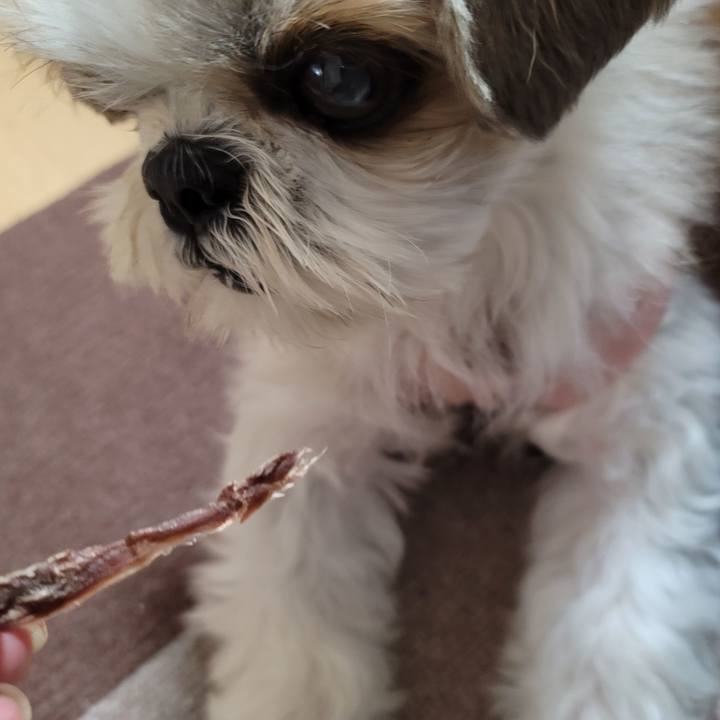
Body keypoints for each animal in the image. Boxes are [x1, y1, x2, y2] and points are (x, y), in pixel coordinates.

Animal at [3, 0, 720, 717]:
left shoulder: (646, 418)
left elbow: (612, 643)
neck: (462, 270)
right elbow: (293, 620)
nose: (176, 177)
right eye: (112, 97)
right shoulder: (311, 420)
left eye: (338, 78)